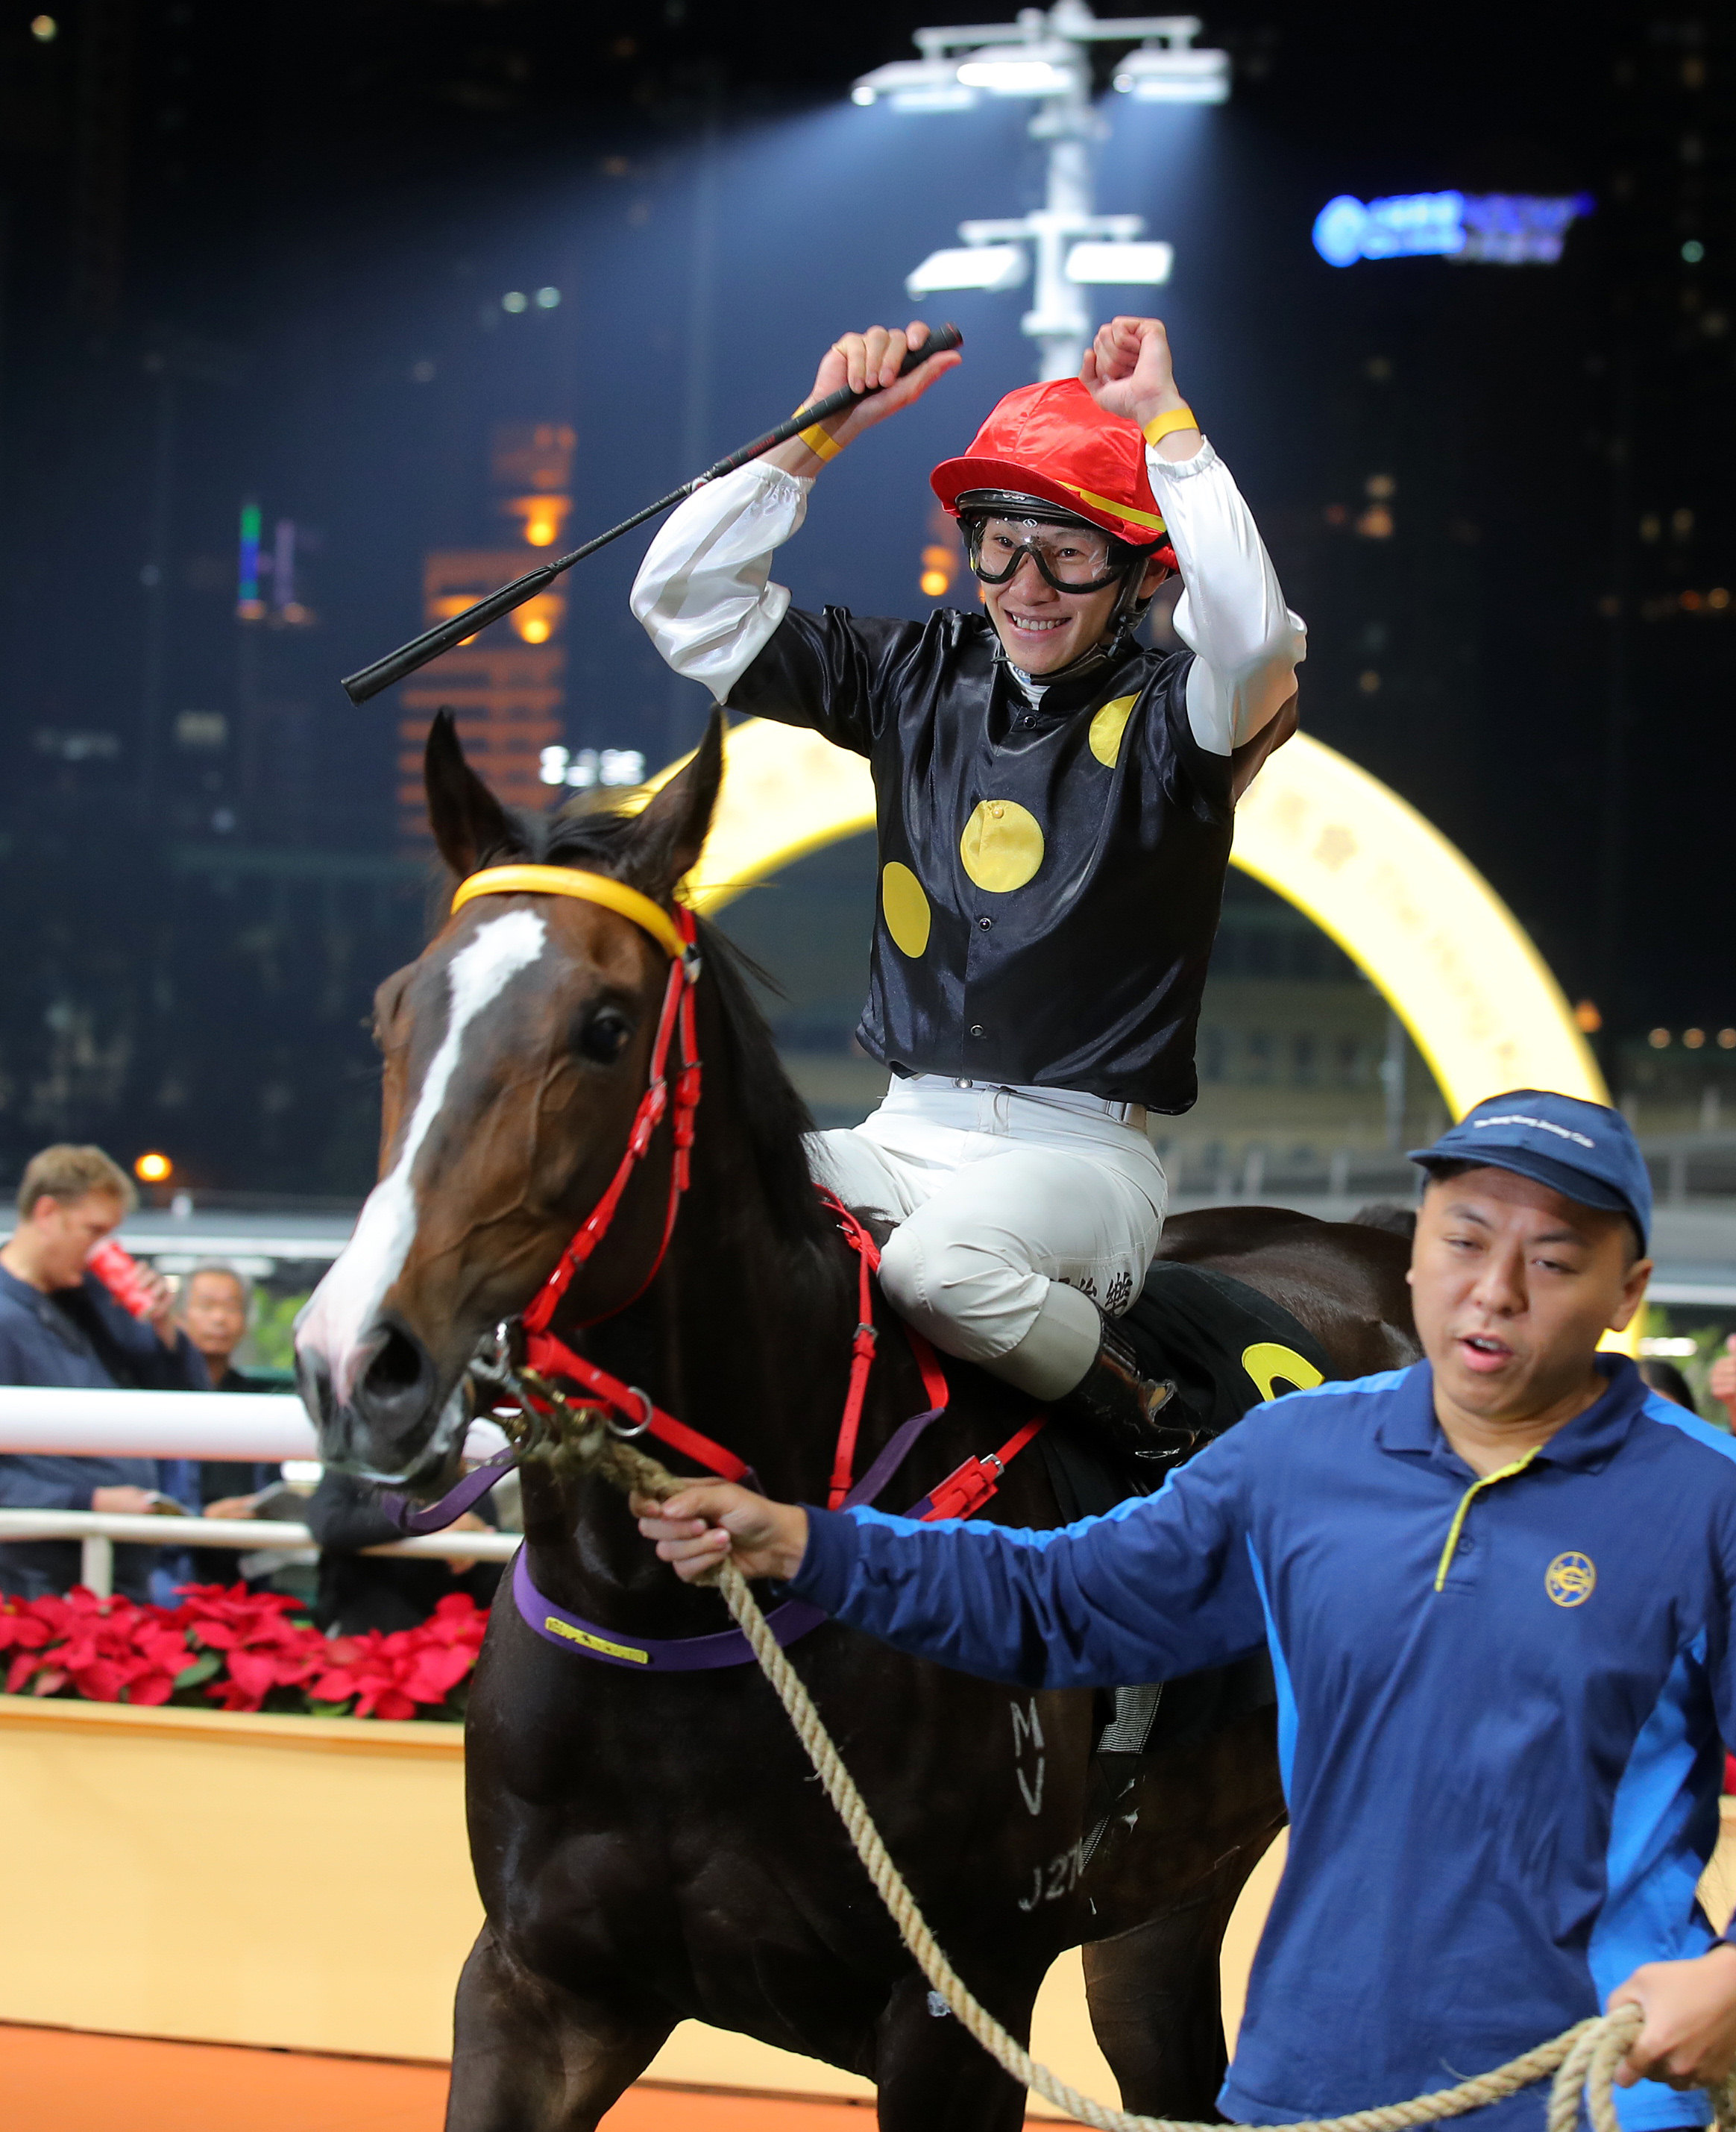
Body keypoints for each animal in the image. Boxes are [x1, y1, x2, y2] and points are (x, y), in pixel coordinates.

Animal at [292, 711, 1424, 2132]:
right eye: (396, 1008)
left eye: (605, 1026)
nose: (359, 1358)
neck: (675, 1610)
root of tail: (1373, 1237)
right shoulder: (537, 1985)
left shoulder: (955, 2006)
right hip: (1166, 1892)